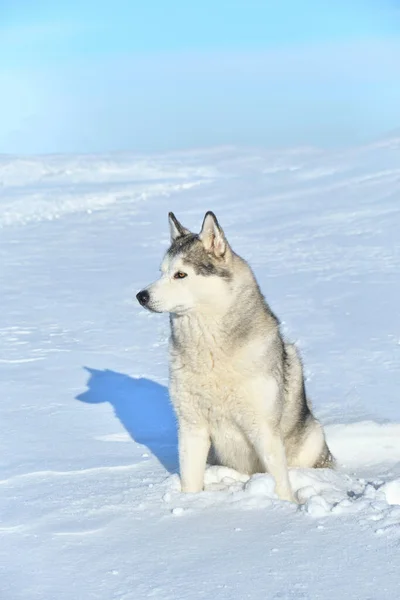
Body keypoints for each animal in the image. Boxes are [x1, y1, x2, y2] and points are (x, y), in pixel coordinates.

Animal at [138, 211, 334, 502]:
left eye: (181, 274)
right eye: (161, 272)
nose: (141, 296)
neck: (210, 351)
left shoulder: (263, 429)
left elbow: (281, 483)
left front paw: (286, 506)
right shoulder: (191, 427)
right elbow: (190, 480)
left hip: (311, 439)